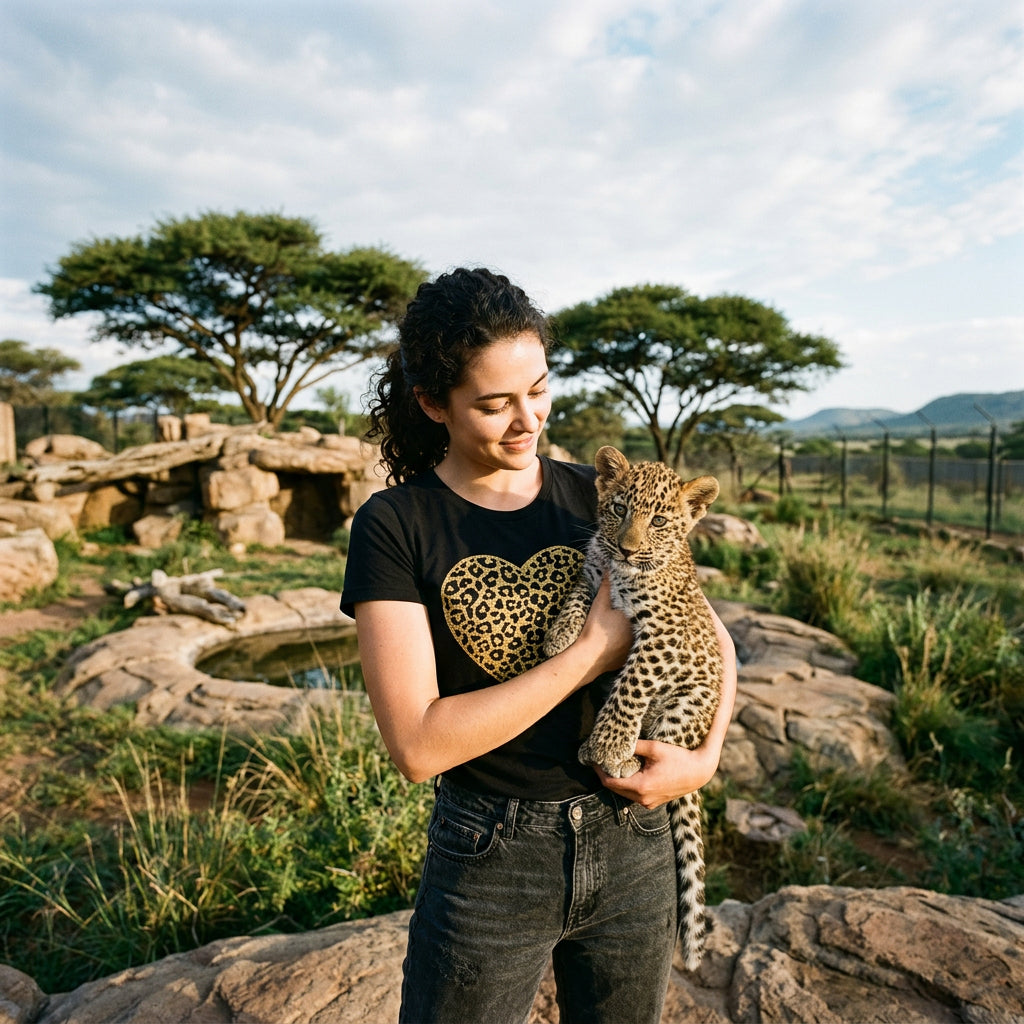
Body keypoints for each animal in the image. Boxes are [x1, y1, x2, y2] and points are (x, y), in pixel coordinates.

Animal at [543, 445, 723, 971]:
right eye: (619, 508)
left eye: (659, 520)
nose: (625, 548)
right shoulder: (594, 573)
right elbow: (579, 592)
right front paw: (560, 637)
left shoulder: (661, 638)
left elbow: (630, 688)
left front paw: (607, 744)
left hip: (685, 710)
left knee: (657, 743)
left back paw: (617, 757)